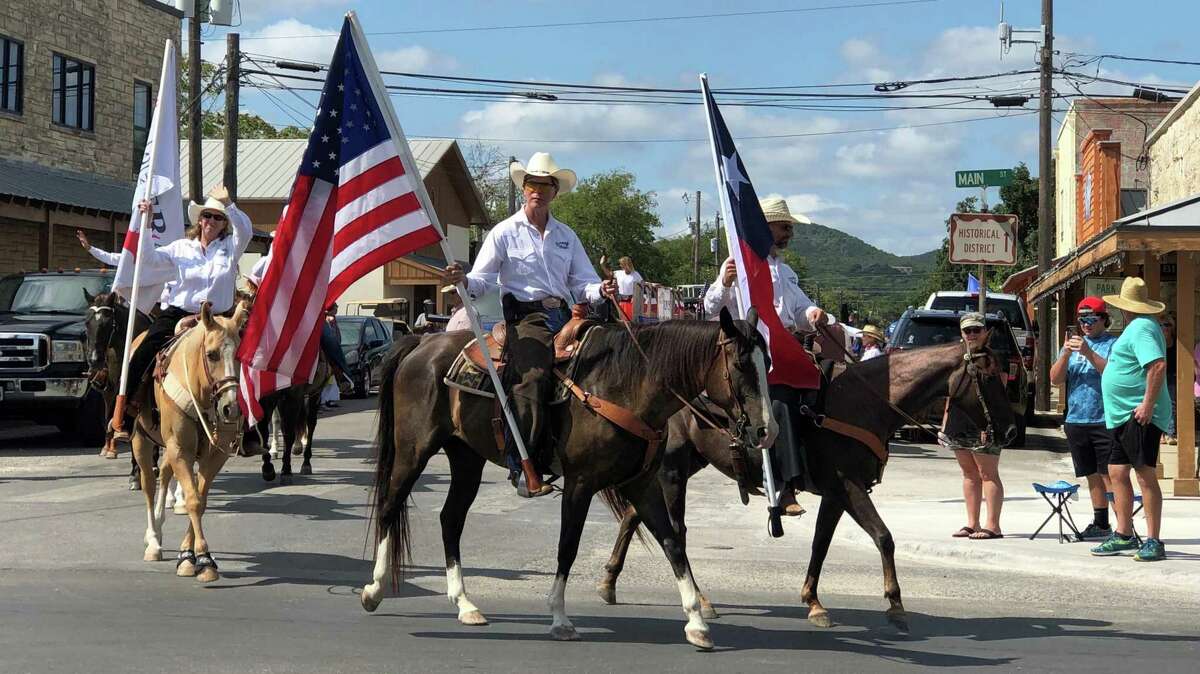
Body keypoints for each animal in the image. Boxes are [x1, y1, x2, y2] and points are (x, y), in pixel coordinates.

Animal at [131, 302, 248, 580]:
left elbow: (201, 500)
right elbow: (194, 500)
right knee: (149, 483)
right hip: (142, 440)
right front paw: (200, 559)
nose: (231, 409)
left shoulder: (215, 455)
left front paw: (191, 555)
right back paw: (153, 540)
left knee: (164, 473)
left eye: (239, 355)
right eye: (212, 354)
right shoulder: (180, 449)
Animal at [357, 309, 777, 647]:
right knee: (390, 505)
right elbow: (568, 547)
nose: (766, 431)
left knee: (451, 519)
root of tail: (421, 342)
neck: (625, 386)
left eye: (768, 363)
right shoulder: (580, 484)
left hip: (466, 459)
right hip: (413, 450)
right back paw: (374, 590)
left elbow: (673, 543)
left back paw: (464, 604)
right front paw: (559, 617)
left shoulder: (641, 484)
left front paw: (696, 622)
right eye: (741, 364)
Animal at [595, 340, 1017, 628]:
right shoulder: (849, 487)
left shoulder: (836, 494)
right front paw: (895, 604)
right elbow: (884, 537)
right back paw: (701, 599)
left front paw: (813, 601)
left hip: (684, 466)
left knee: (634, 516)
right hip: (673, 471)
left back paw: (609, 582)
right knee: (675, 531)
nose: (1011, 430)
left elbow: (821, 544)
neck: (863, 403)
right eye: (989, 377)